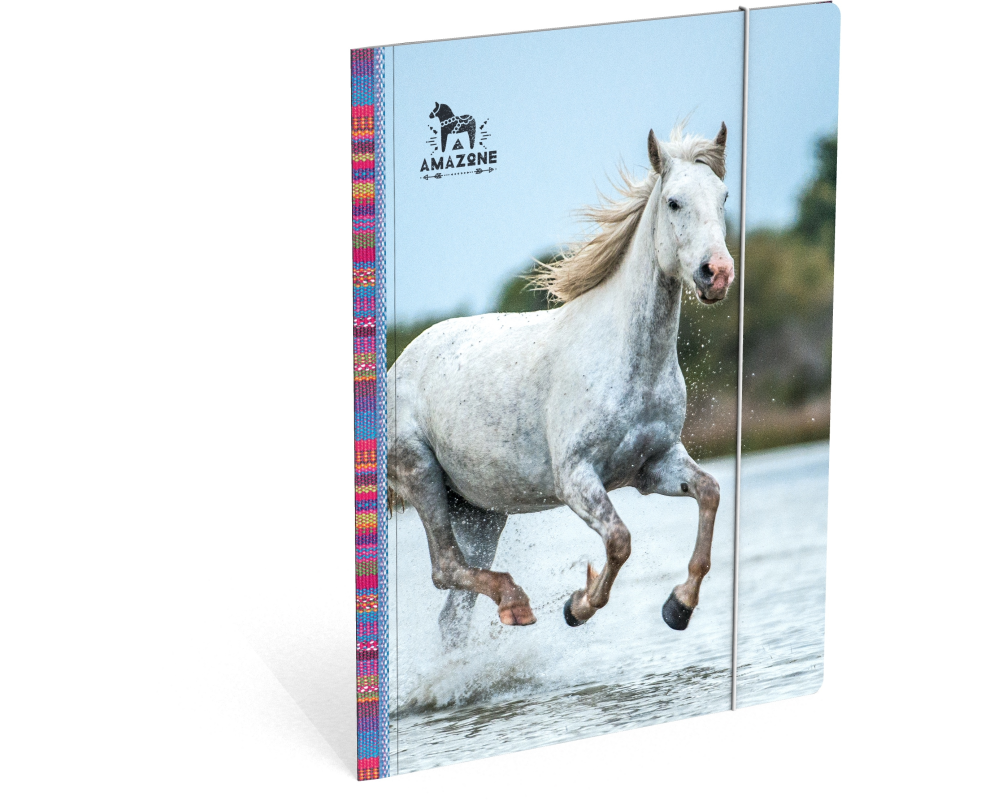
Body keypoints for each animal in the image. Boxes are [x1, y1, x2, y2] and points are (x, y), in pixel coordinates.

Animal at [388, 123, 734, 647]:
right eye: (674, 202)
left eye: (723, 196)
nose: (717, 274)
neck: (627, 359)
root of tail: (391, 369)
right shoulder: (575, 479)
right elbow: (619, 540)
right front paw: (577, 607)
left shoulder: (653, 466)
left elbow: (710, 492)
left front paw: (678, 607)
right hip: (420, 474)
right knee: (445, 568)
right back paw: (517, 602)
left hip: (481, 512)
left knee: (452, 613)